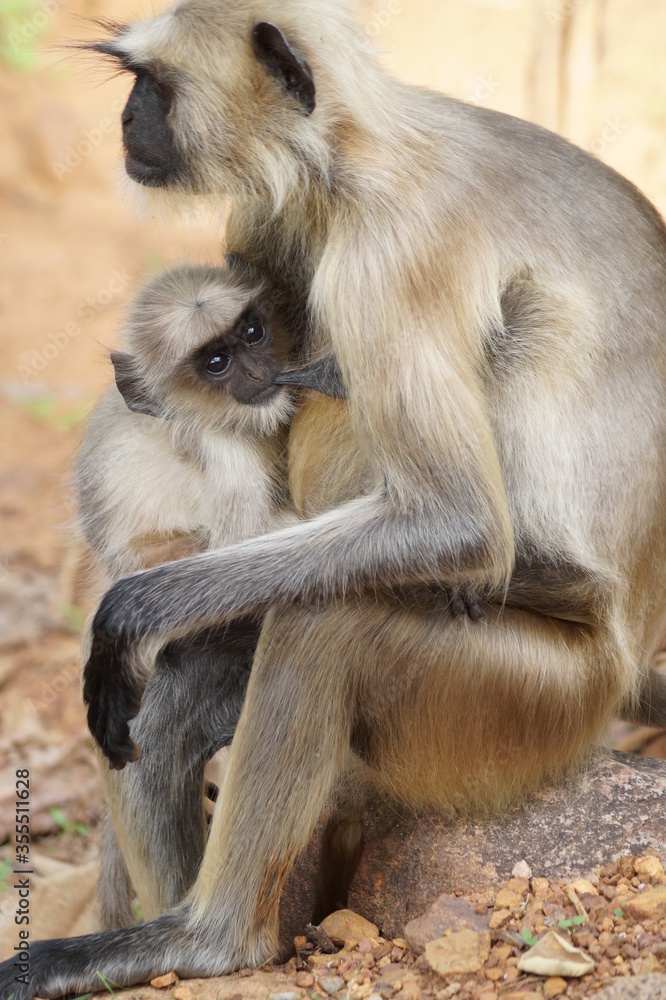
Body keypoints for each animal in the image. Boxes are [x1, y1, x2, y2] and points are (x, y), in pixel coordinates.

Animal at [5, 0, 666, 995]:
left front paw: (131, 608)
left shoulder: (392, 247)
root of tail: (621, 663)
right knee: (183, 688)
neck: (354, 155)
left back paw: (207, 941)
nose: (128, 121)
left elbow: (457, 520)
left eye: (153, 87)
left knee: (328, 616)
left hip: (530, 701)